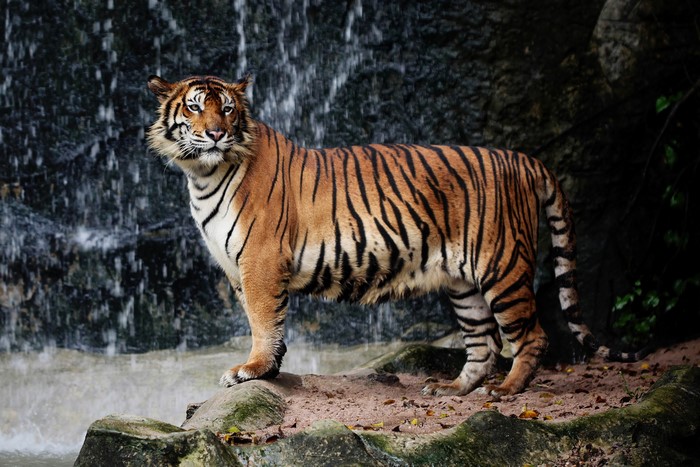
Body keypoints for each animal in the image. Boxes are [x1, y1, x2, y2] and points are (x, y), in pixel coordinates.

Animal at [146, 74, 641, 397]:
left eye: (228, 109)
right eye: (195, 106)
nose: (216, 133)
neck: (203, 174)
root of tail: (522, 158)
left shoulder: (261, 261)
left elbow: (263, 322)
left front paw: (252, 370)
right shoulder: (237, 268)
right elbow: (266, 321)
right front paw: (270, 370)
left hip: (502, 267)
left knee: (531, 336)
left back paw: (507, 390)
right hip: (464, 284)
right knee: (483, 344)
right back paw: (452, 389)